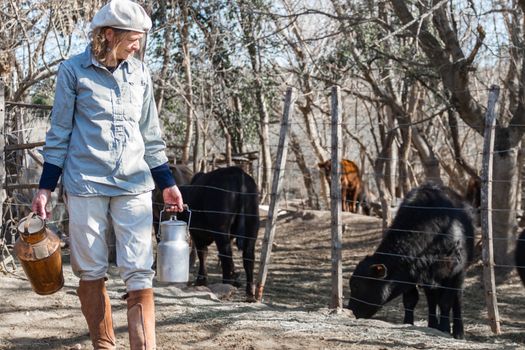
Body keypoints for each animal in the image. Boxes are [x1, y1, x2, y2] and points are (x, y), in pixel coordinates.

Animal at [179, 167, 258, 300]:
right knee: (248, 258)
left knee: (226, 256)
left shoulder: (196, 233)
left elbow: (203, 254)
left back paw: (226, 285)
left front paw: (201, 280)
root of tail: (238, 173)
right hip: (252, 228)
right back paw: (249, 294)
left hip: (221, 230)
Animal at [348, 183, 474, 340]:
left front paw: (444, 329)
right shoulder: (413, 272)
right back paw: (432, 324)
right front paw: (408, 322)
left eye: (357, 286)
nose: (350, 310)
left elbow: (446, 302)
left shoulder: (453, 270)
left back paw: (458, 331)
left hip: (460, 273)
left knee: (457, 299)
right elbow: (410, 300)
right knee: (432, 299)